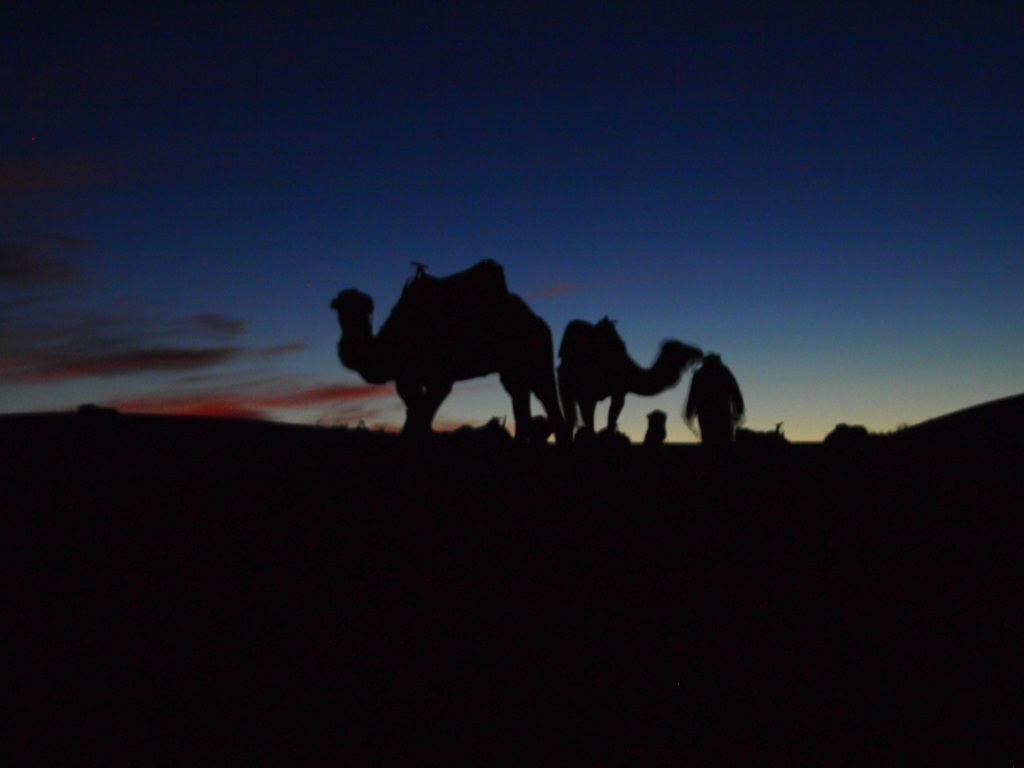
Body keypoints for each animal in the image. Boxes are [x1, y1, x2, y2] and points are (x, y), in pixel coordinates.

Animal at [329, 262, 569, 444]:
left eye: (362, 306)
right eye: (340, 306)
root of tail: (539, 322)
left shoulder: (437, 377)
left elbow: (421, 413)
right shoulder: (409, 378)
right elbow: (416, 413)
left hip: (537, 359)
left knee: (547, 399)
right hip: (513, 368)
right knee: (521, 399)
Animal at [561, 317, 704, 438]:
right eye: (680, 347)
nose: (698, 351)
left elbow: (609, 420)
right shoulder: (614, 392)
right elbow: (606, 420)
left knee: (570, 419)